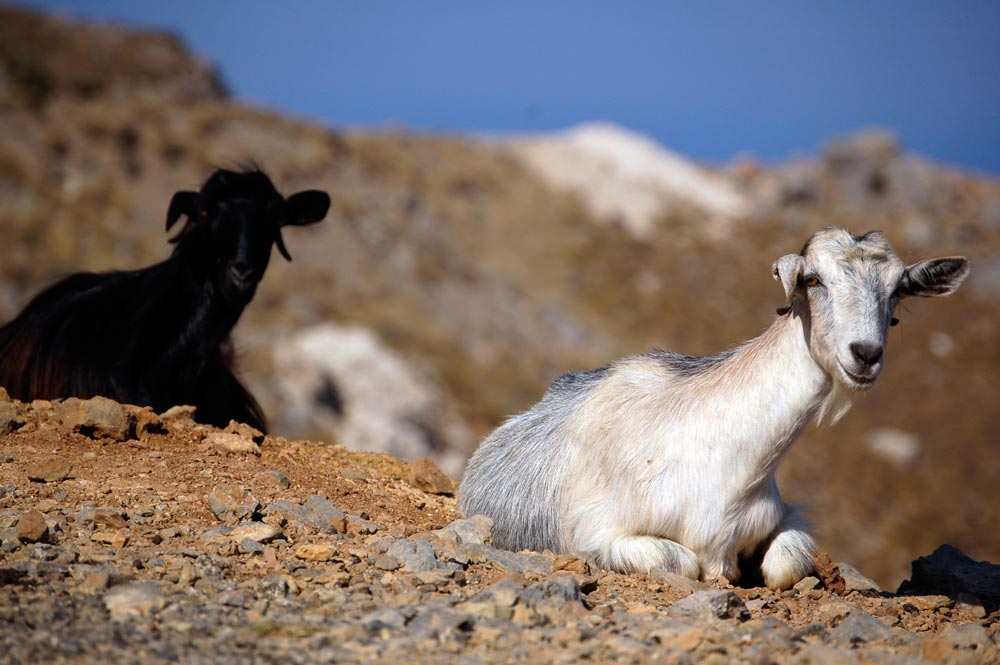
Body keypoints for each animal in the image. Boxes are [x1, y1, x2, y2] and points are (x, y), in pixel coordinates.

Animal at [460, 228, 968, 588]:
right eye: (813, 278)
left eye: (898, 290)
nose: (865, 354)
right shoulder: (598, 535)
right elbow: (683, 561)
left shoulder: (782, 517)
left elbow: (788, 563)